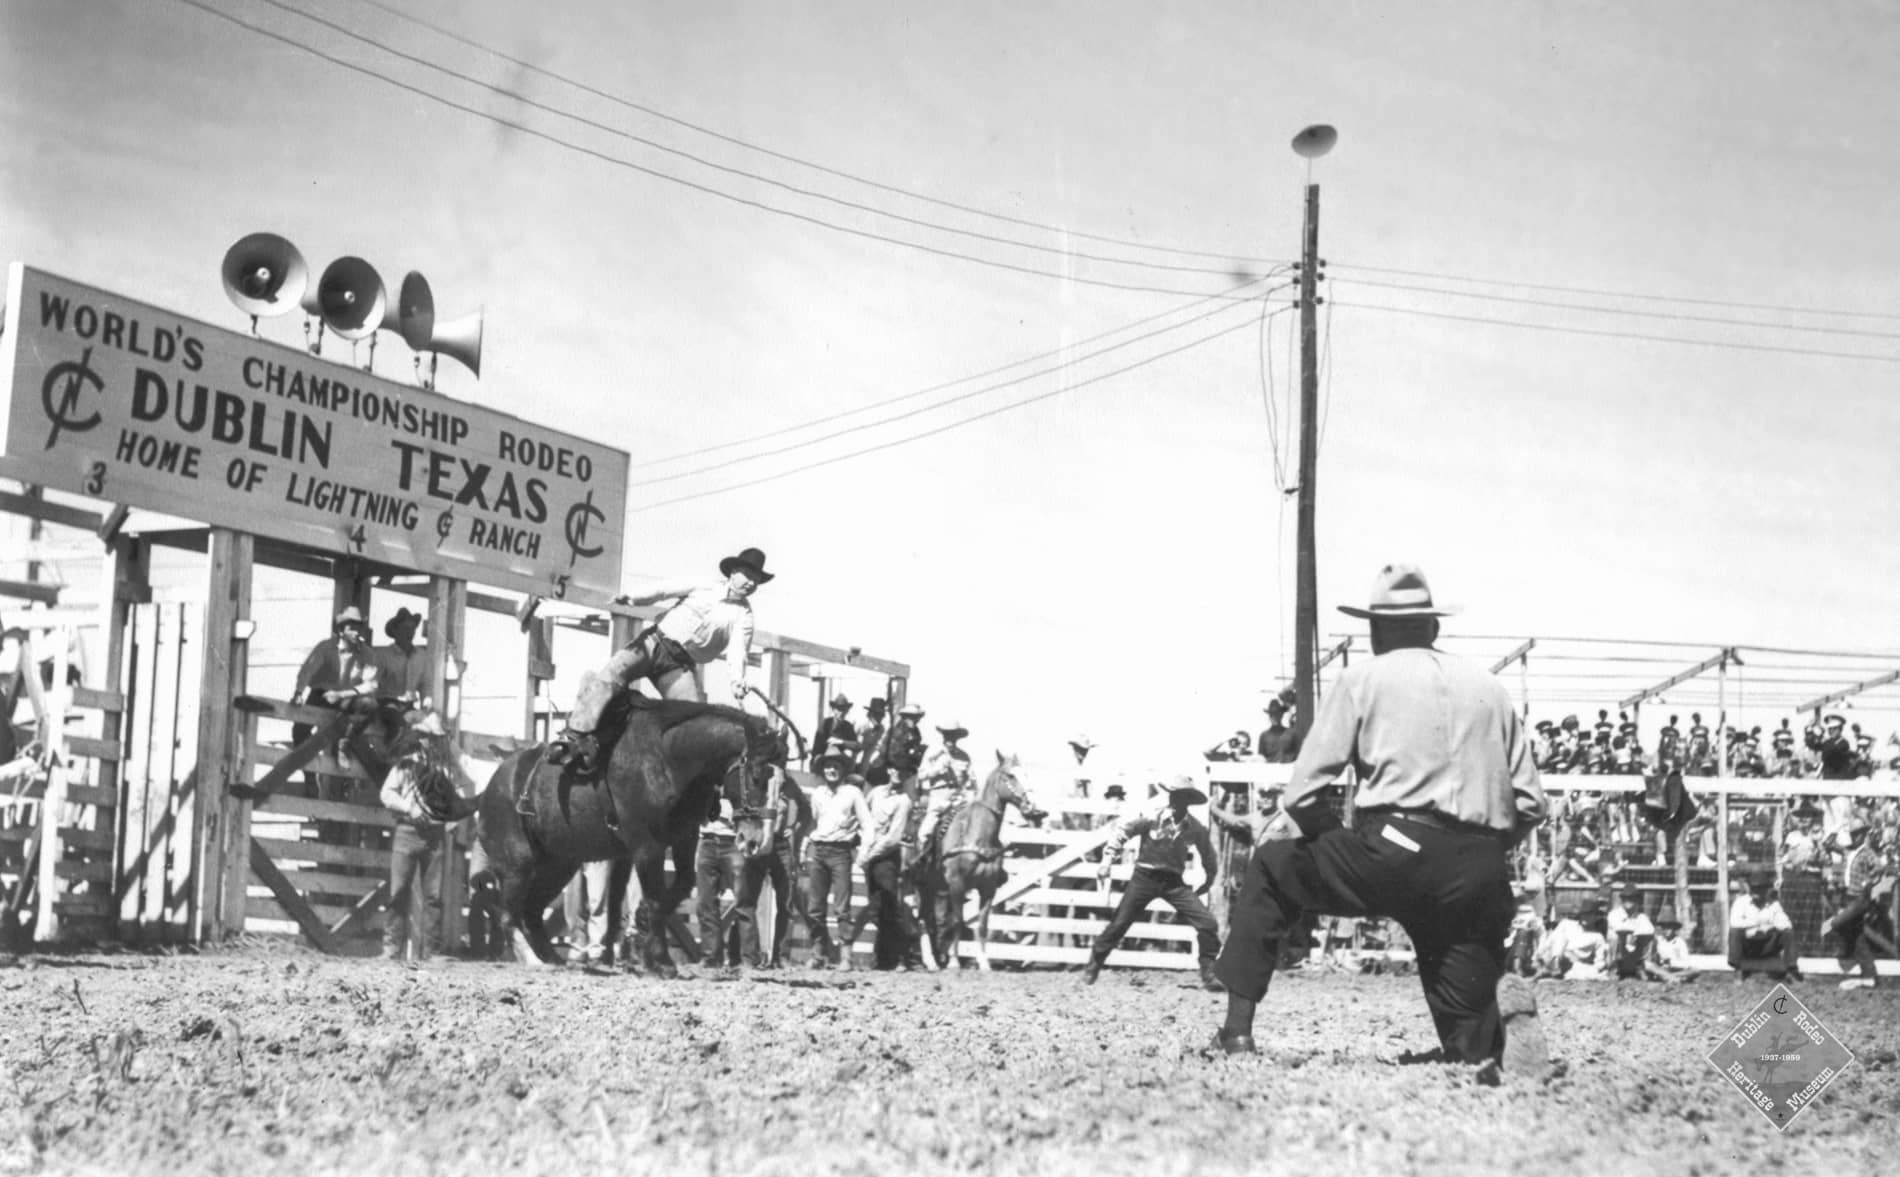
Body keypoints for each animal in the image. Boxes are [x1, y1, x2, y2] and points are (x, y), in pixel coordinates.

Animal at [482, 692, 794, 973]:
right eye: (756, 776)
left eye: (783, 785)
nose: (757, 840)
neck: (668, 758)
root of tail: (495, 783)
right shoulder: (647, 847)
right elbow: (656, 897)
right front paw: (661, 961)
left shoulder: (683, 838)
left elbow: (679, 886)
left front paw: (645, 933)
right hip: (517, 865)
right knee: (508, 913)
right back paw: (531, 959)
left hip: (559, 865)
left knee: (532, 911)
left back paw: (552, 959)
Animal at [912, 760, 1048, 973]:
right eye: (1010, 775)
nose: (1034, 808)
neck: (978, 836)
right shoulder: (957, 885)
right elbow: (957, 921)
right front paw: (954, 961)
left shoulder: (988, 888)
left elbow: (982, 924)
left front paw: (984, 962)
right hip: (920, 887)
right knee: (922, 919)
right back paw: (931, 962)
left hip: (936, 889)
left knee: (932, 919)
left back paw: (936, 958)